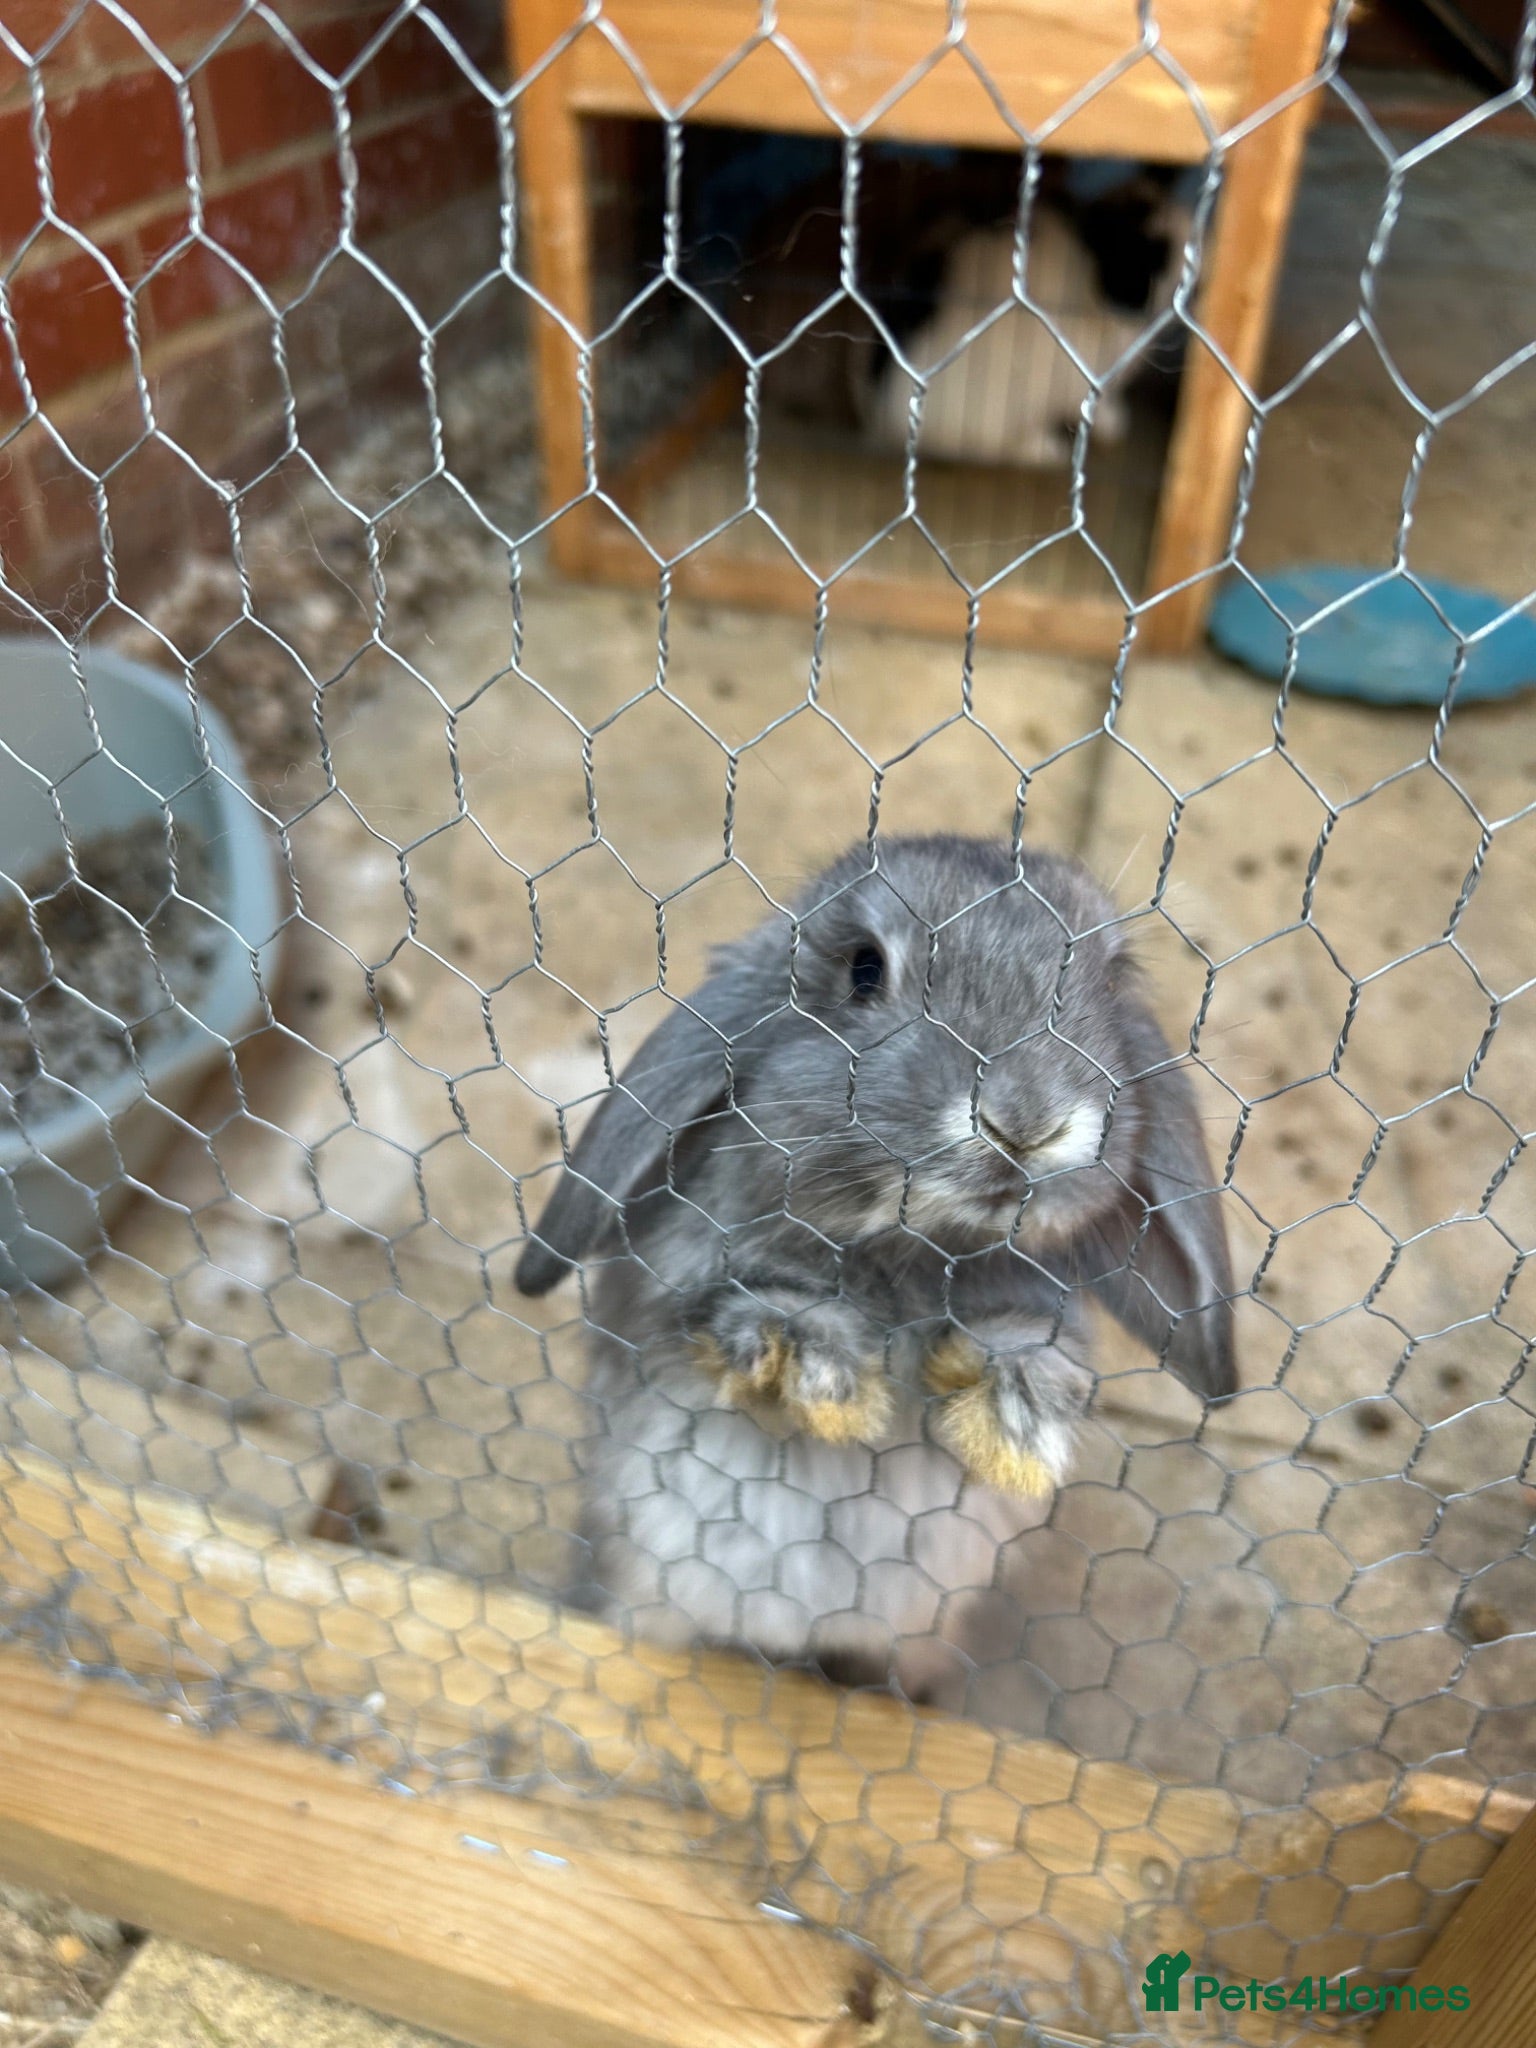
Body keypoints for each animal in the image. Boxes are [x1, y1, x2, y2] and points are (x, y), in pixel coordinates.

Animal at [515, 836, 1234, 1697]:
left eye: (1111, 980)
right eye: (864, 968)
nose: (1025, 1123)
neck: (917, 1247)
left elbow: (1027, 1344)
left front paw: (1018, 1418)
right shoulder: (677, 1304)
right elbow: (737, 1316)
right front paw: (821, 1372)